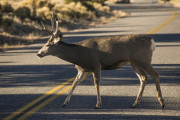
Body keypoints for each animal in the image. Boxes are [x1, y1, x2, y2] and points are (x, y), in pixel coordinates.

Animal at [36, 14, 165, 109]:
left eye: (47, 45)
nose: (38, 53)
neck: (79, 54)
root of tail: (152, 41)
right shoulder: (84, 69)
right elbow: (74, 83)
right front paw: (65, 102)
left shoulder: (96, 64)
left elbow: (96, 83)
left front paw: (98, 104)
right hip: (134, 62)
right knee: (143, 78)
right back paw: (135, 103)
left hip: (143, 59)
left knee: (155, 74)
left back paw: (161, 102)